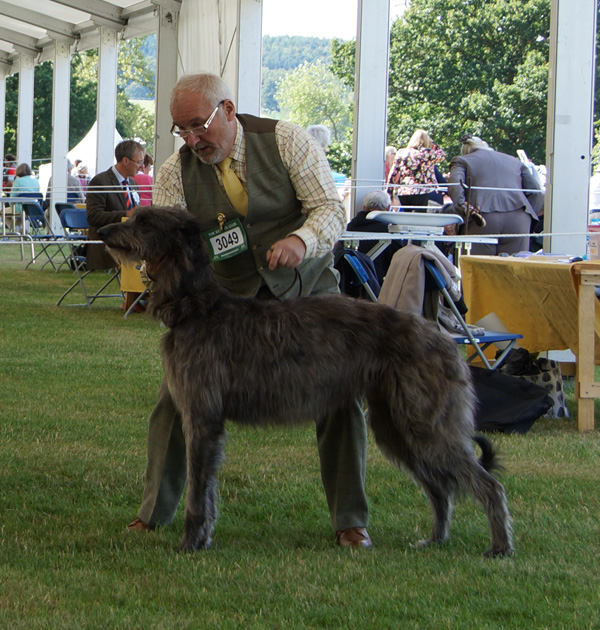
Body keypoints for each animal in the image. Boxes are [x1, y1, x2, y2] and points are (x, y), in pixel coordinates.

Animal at [97, 207, 510, 556]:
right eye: (135, 215)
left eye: (145, 221)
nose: (101, 231)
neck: (197, 308)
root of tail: (441, 337)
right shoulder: (200, 415)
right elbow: (207, 488)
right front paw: (202, 538)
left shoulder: (202, 417)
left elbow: (199, 491)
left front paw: (190, 543)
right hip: (395, 424)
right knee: (440, 487)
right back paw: (436, 539)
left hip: (425, 420)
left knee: (487, 484)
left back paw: (500, 548)